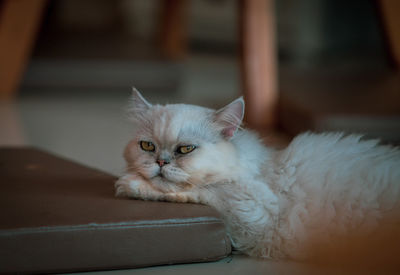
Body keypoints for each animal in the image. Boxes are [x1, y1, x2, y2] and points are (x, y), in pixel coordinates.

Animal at [115, 89, 400, 262]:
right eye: (147, 146)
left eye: (185, 149)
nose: (160, 162)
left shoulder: (255, 208)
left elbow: (196, 189)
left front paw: (130, 185)